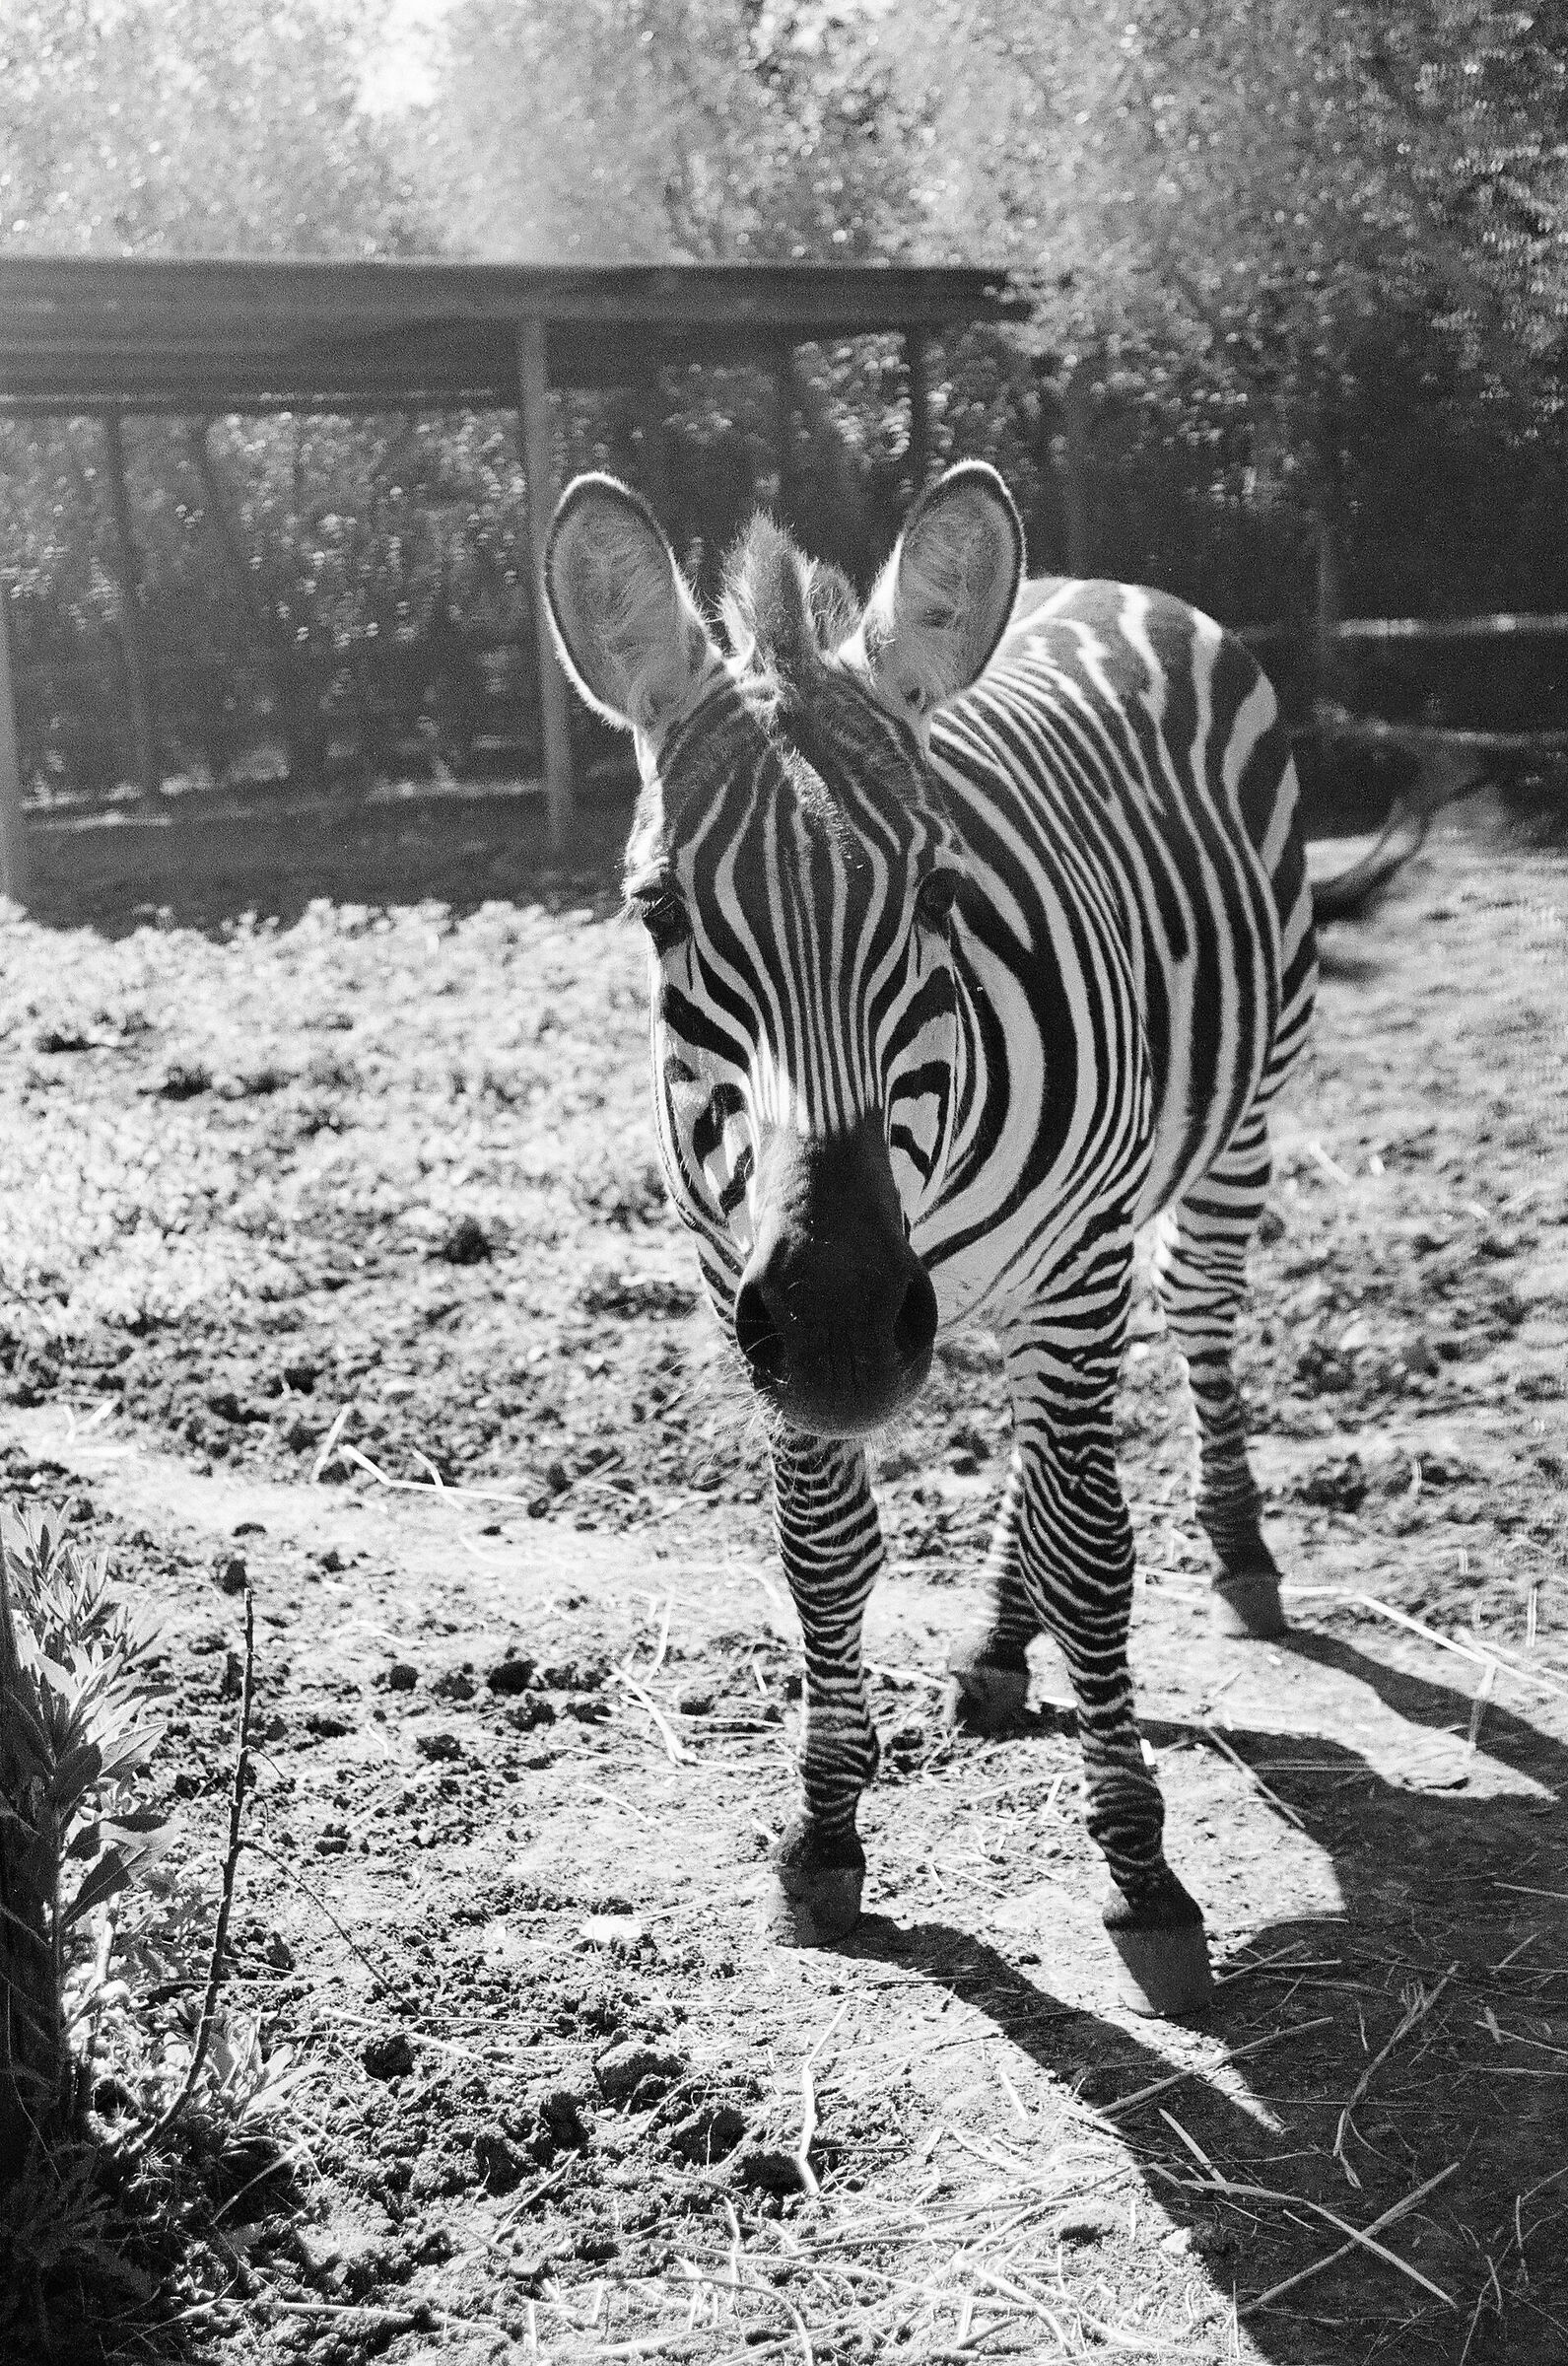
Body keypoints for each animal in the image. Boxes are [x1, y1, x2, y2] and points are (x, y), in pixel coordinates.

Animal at [545, 461, 1319, 2017]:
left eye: (936, 898)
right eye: (657, 914)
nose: (844, 1323)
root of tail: (1103, 582)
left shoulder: (1071, 1264)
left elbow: (1096, 1553)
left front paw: (1141, 1877)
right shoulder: (745, 1295)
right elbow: (824, 1558)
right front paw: (824, 1835)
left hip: (1229, 1131)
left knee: (1201, 1322)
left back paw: (1237, 1557)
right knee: (1037, 1449)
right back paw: (996, 1648)